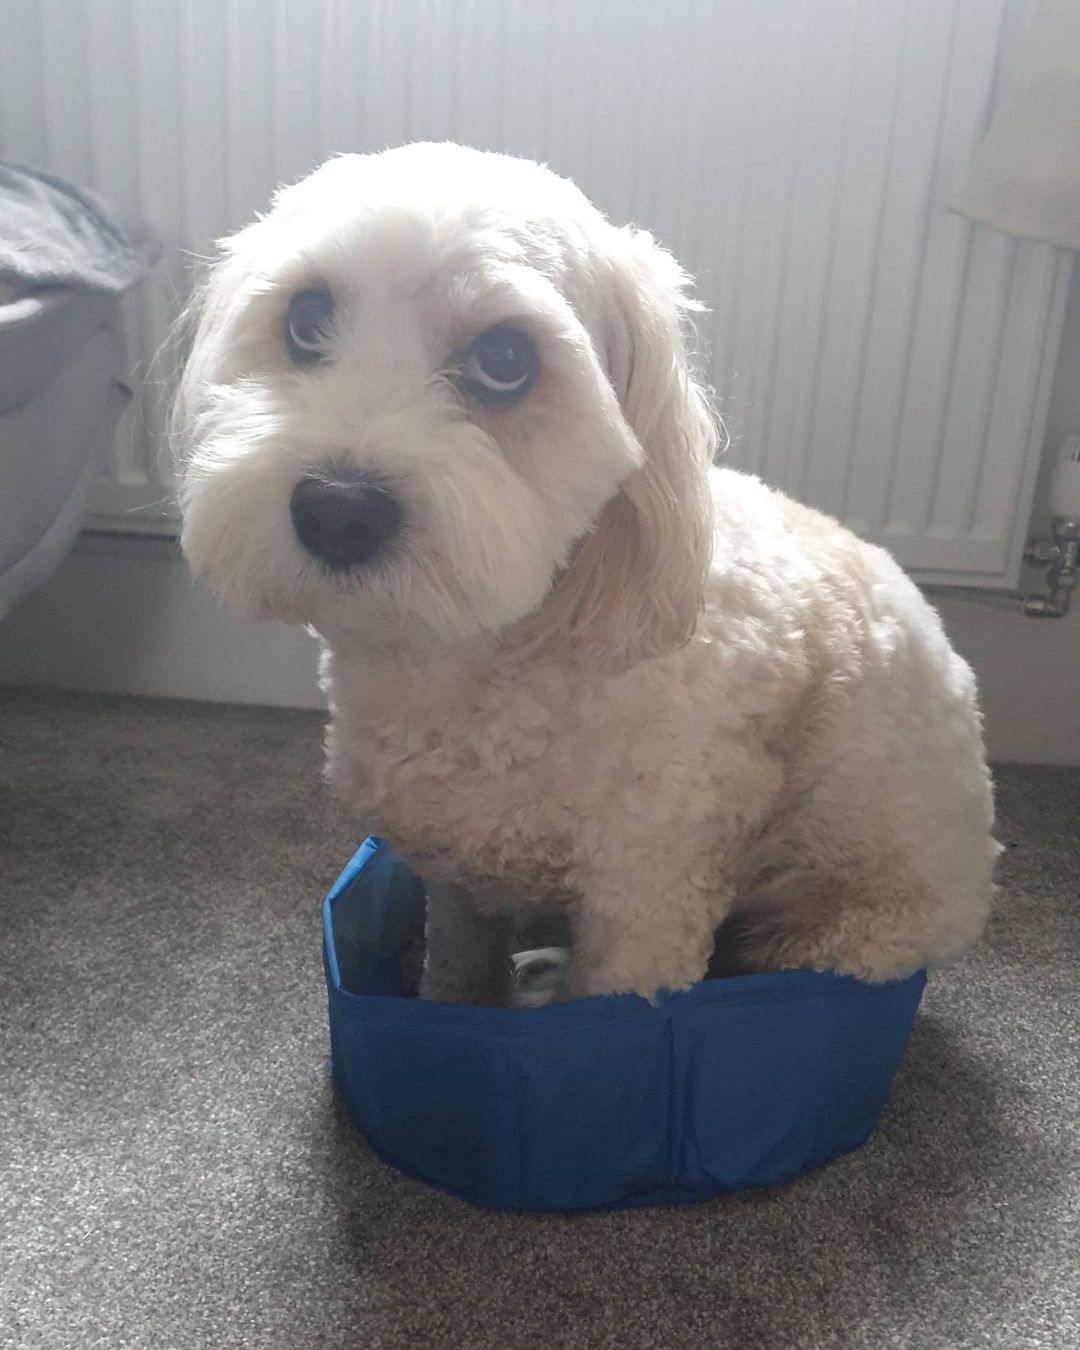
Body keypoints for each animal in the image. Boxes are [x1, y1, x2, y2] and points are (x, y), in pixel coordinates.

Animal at [175, 145, 993, 1004]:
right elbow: (457, 968)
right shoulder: (456, 880)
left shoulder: (646, 903)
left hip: (840, 929)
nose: (337, 510)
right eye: (304, 319)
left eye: (505, 359)